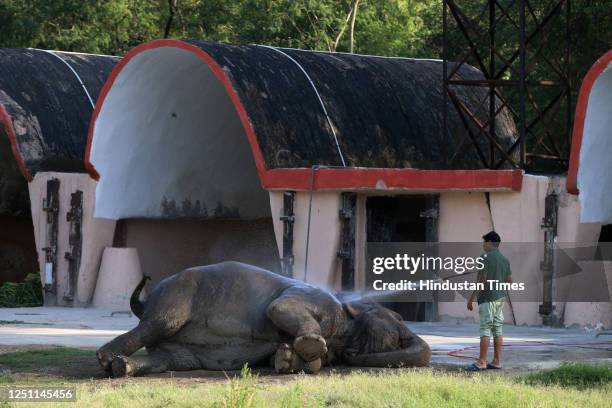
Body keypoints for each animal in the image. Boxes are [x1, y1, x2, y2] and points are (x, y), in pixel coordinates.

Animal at [97, 262, 430, 376]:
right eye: (397, 317)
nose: (405, 329)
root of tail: (146, 301)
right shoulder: (313, 298)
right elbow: (279, 308)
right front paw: (311, 347)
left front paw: (285, 359)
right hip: (178, 295)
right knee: (158, 324)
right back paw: (105, 358)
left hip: (178, 349)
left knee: (170, 359)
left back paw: (122, 367)